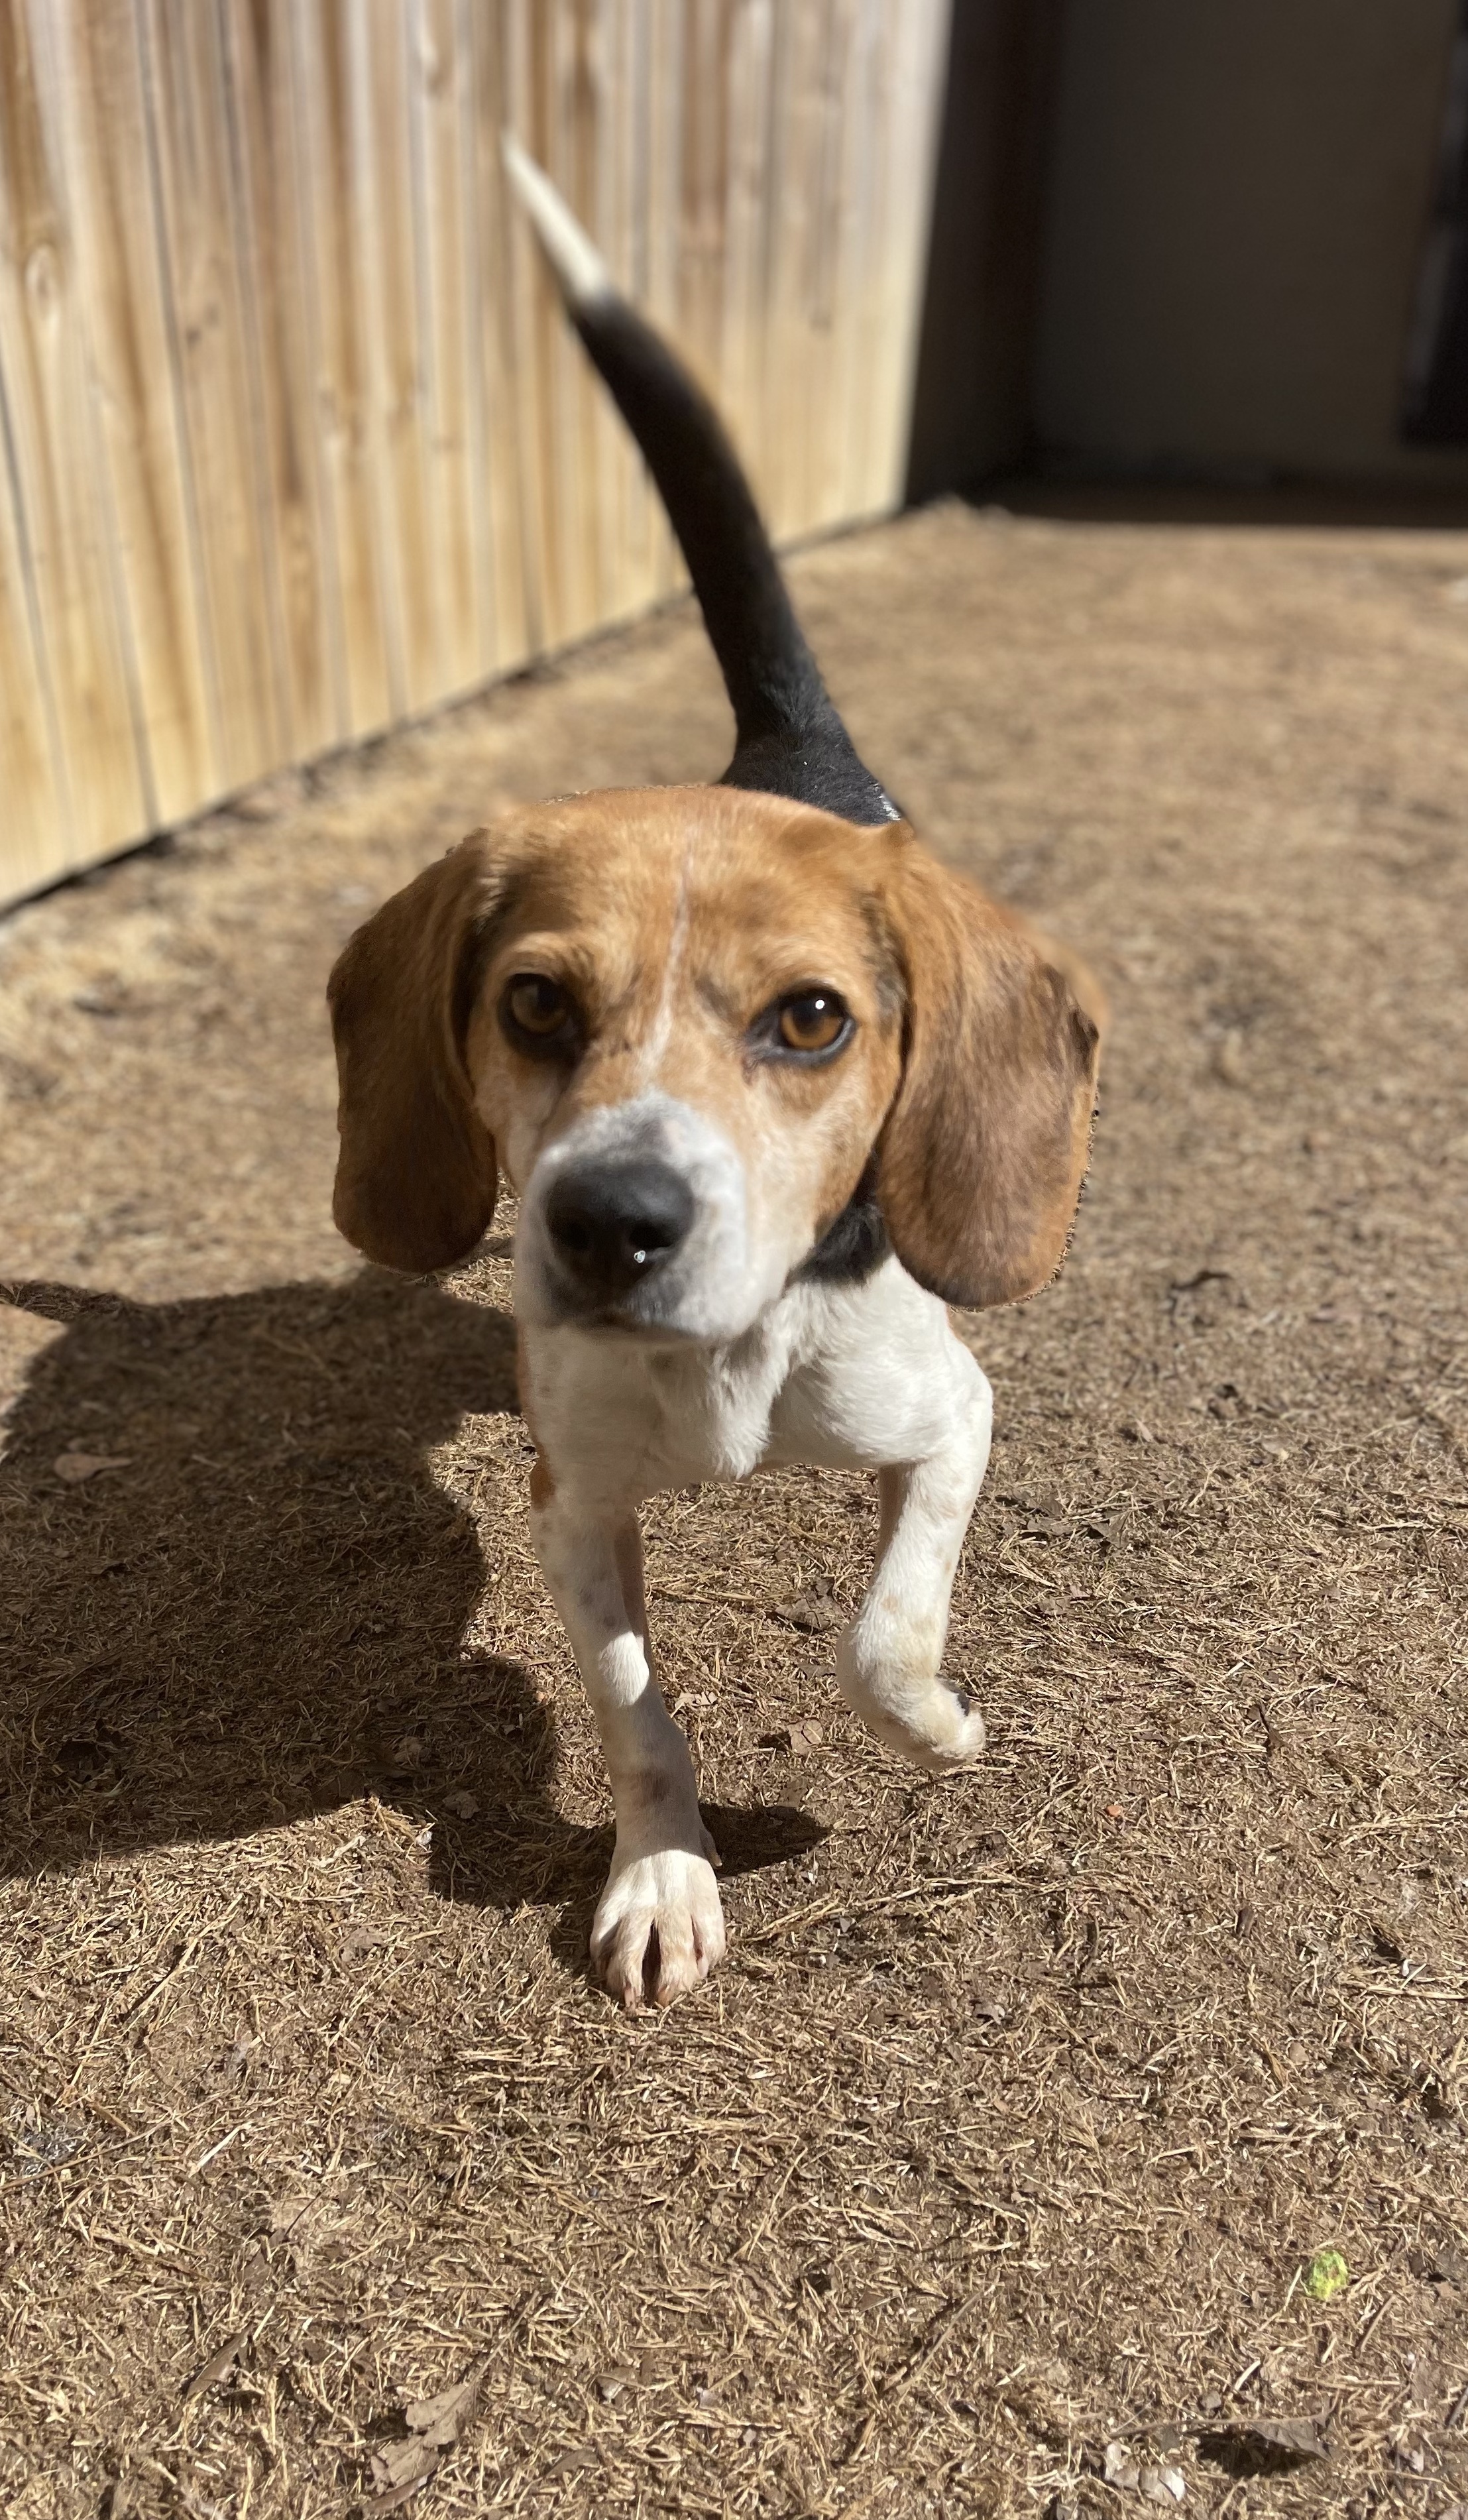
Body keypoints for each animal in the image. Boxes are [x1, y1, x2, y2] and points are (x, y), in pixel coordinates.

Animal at [325, 152, 1103, 2006]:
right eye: (536, 1003)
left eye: (811, 1022)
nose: (608, 1224)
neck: (731, 1352)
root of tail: (785, 752)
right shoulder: (571, 1503)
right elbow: (635, 1712)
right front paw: (663, 1871)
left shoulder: (954, 1415)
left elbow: (883, 1635)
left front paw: (939, 1726)